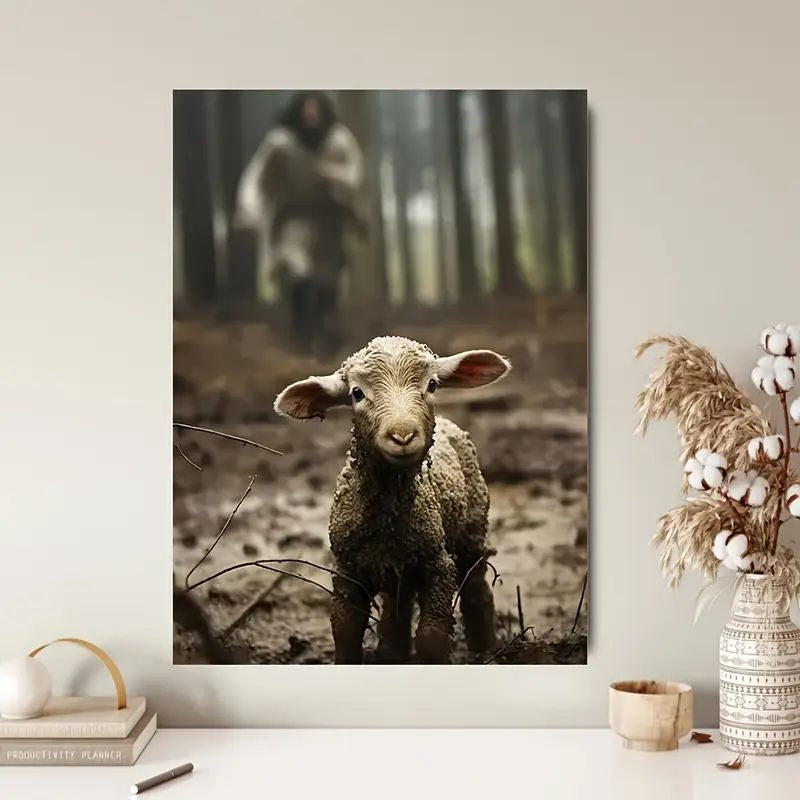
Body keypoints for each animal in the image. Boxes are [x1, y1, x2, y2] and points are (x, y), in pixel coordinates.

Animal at [274, 336, 511, 663]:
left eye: (432, 385)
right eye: (357, 393)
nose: (402, 436)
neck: (388, 519)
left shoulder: (438, 565)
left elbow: (431, 638)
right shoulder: (347, 570)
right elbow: (344, 629)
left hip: (472, 529)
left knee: (475, 586)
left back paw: (485, 648)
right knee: (398, 605)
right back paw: (392, 652)